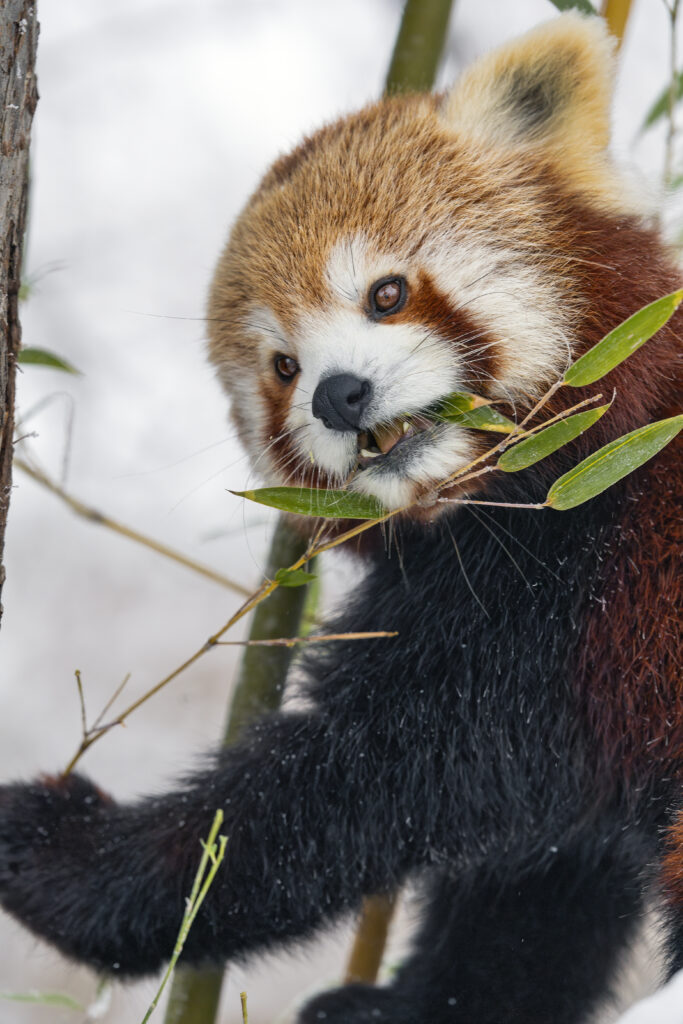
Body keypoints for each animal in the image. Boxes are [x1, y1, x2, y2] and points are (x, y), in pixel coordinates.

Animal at [0, 14, 681, 1024]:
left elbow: (348, 790)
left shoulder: (573, 593)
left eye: (385, 294)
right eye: (282, 367)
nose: (338, 393)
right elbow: (538, 884)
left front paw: (69, 857)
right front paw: (430, 1003)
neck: (524, 490)